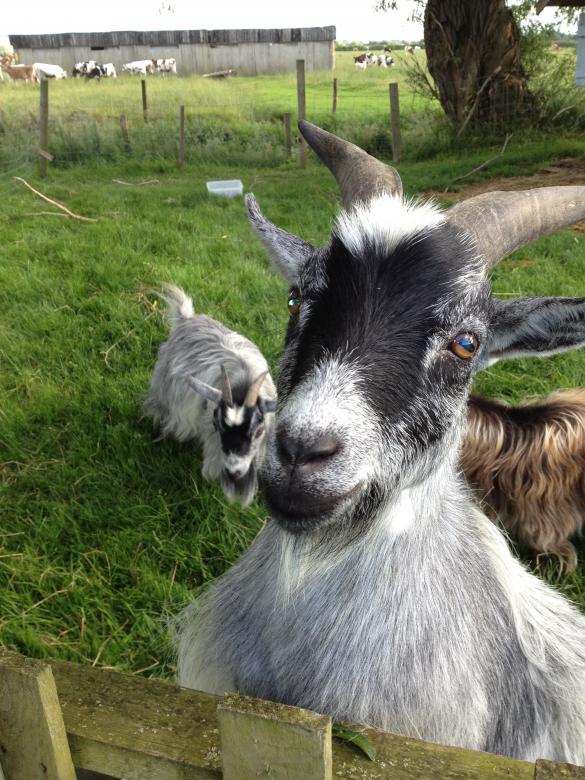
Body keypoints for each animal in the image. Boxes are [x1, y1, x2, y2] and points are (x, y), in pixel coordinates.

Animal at [144, 285, 276, 506]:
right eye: (218, 425)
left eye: (258, 431)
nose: (233, 472)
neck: (243, 384)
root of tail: (187, 318)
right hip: (163, 384)